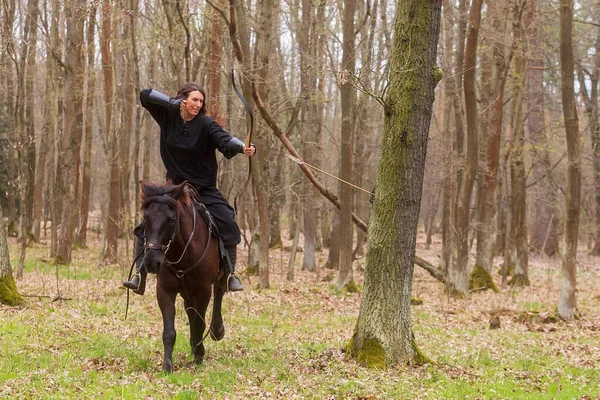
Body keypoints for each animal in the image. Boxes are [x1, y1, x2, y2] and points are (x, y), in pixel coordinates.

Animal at [138, 181, 227, 372]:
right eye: (146, 218)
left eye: (171, 219)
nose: (151, 262)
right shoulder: (165, 290)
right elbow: (169, 331)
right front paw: (167, 365)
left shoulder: (203, 291)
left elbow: (199, 323)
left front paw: (199, 355)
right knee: (190, 310)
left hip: (217, 280)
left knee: (219, 292)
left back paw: (216, 331)